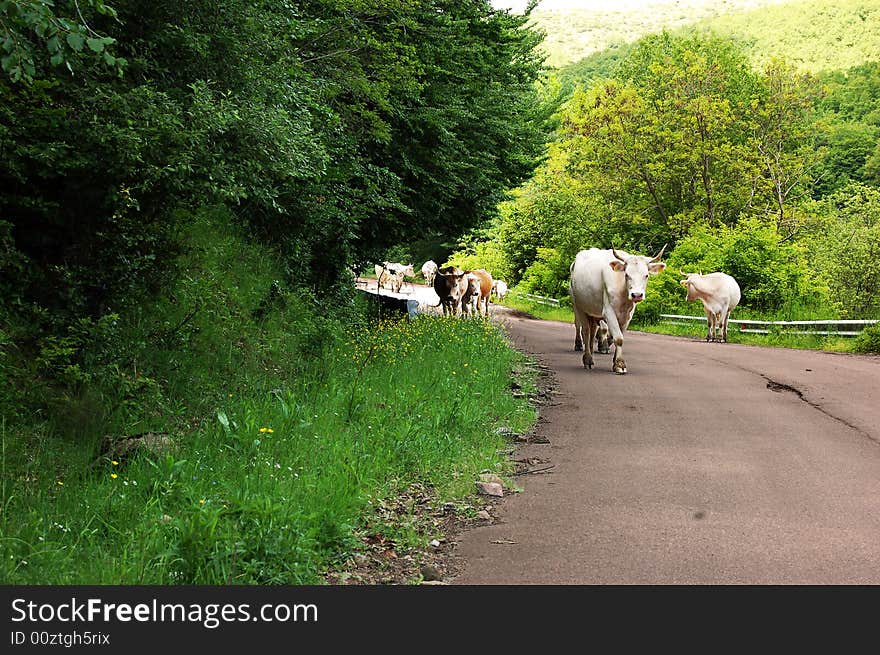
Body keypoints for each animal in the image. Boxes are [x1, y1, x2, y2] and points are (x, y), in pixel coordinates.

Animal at [572, 246, 668, 374]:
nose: (636, 295)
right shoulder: (608, 312)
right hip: (579, 307)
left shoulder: (627, 316)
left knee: (592, 331)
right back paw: (587, 359)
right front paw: (619, 364)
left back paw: (591, 355)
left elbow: (617, 336)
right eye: (627, 274)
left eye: (646, 275)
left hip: (593, 312)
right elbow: (618, 338)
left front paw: (615, 361)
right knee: (585, 331)